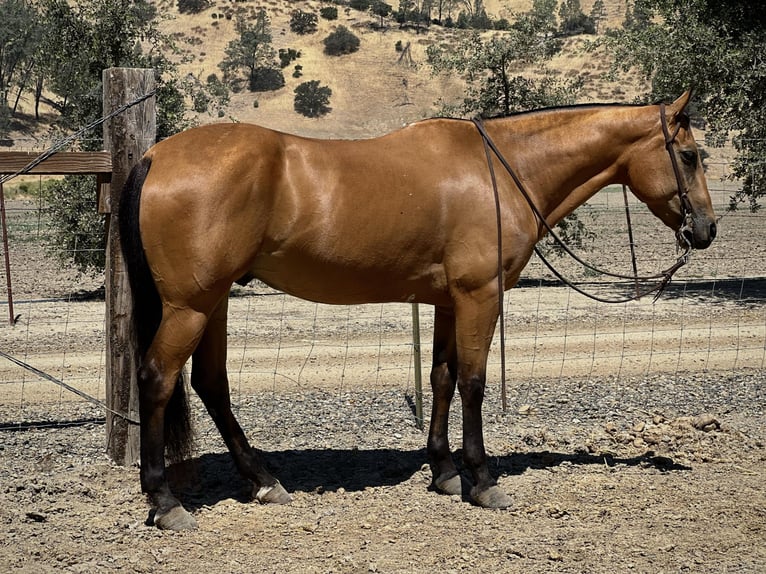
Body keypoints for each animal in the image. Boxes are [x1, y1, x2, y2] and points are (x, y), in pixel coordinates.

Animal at [120, 93, 720, 532]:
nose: (706, 229)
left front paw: (445, 472)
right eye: (690, 155)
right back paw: (166, 502)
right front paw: (483, 480)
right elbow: (474, 382)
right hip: (191, 306)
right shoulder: (480, 295)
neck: (502, 169)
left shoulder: (447, 302)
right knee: (157, 379)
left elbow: (443, 378)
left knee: (211, 385)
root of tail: (156, 156)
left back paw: (264, 481)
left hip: (213, 302)